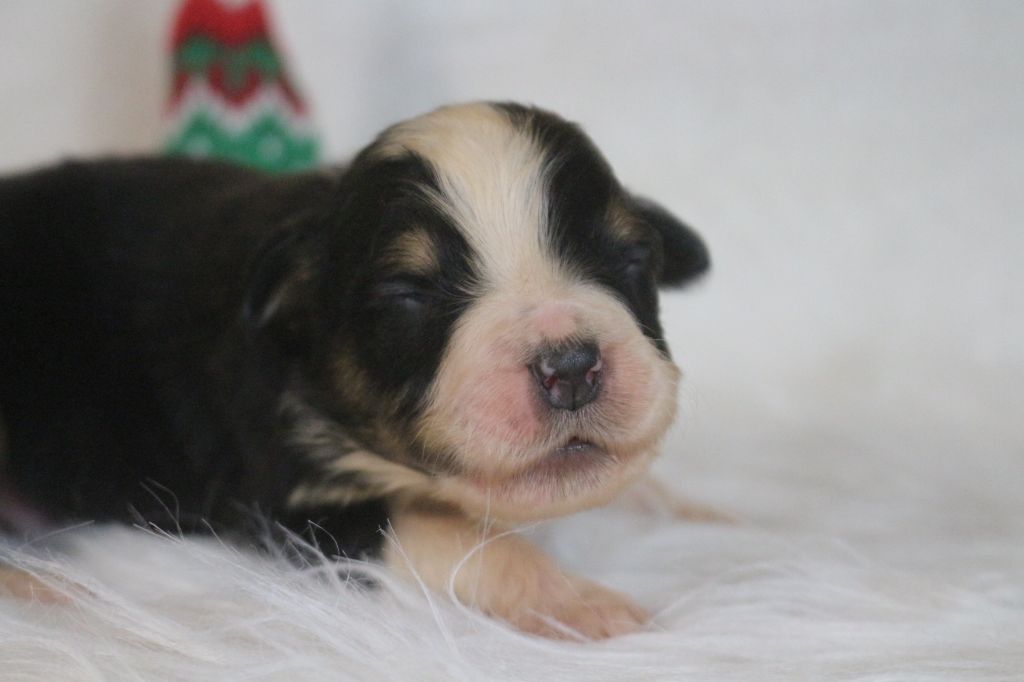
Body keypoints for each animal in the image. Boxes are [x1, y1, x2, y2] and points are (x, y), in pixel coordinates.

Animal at [0, 102, 708, 638]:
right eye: (409, 294)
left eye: (632, 257)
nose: (571, 367)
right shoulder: (286, 506)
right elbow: (449, 532)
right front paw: (580, 601)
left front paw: (707, 513)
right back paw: (45, 587)